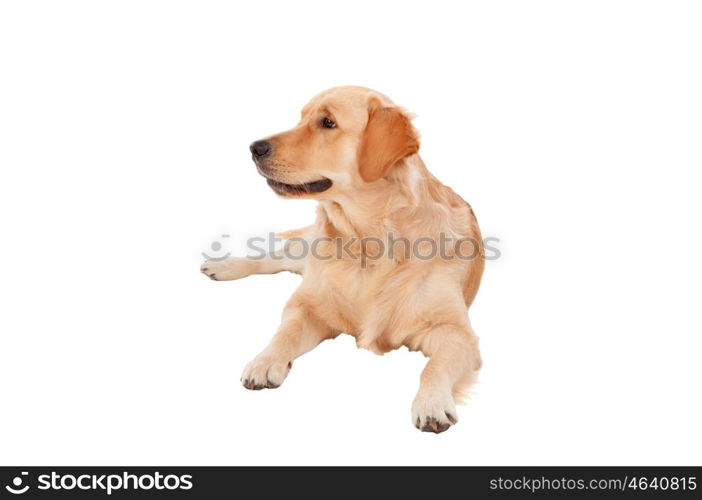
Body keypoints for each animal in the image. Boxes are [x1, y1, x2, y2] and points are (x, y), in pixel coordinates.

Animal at [202, 87, 484, 434]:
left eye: (327, 122)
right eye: (301, 118)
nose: (255, 148)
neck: (367, 243)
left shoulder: (455, 332)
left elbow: (434, 367)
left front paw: (431, 403)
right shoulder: (309, 305)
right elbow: (286, 332)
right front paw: (265, 361)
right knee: (272, 256)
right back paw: (224, 265)